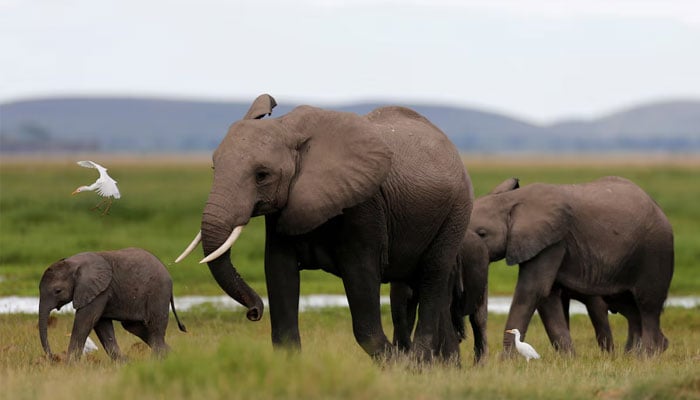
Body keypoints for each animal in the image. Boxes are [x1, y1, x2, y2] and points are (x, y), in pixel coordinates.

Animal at [38, 248, 186, 360]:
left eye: (58, 291)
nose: (53, 357)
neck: (73, 263)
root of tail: (168, 274)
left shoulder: (99, 290)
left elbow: (85, 321)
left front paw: (70, 365)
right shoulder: (99, 291)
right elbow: (101, 325)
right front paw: (125, 364)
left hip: (158, 292)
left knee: (155, 328)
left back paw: (158, 360)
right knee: (136, 327)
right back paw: (173, 356)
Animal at [175, 94, 474, 362]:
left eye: (262, 175)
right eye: (214, 168)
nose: (254, 312)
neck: (288, 128)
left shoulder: (364, 207)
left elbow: (361, 279)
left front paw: (398, 365)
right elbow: (279, 271)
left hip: (456, 212)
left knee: (433, 277)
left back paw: (419, 363)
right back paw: (443, 367)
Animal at [470, 178, 672, 356]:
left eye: (482, 233)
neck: (510, 200)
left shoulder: (553, 241)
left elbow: (532, 291)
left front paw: (506, 361)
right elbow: (547, 297)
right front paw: (569, 358)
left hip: (655, 252)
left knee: (648, 305)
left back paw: (646, 356)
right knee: (631, 308)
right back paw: (635, 355)